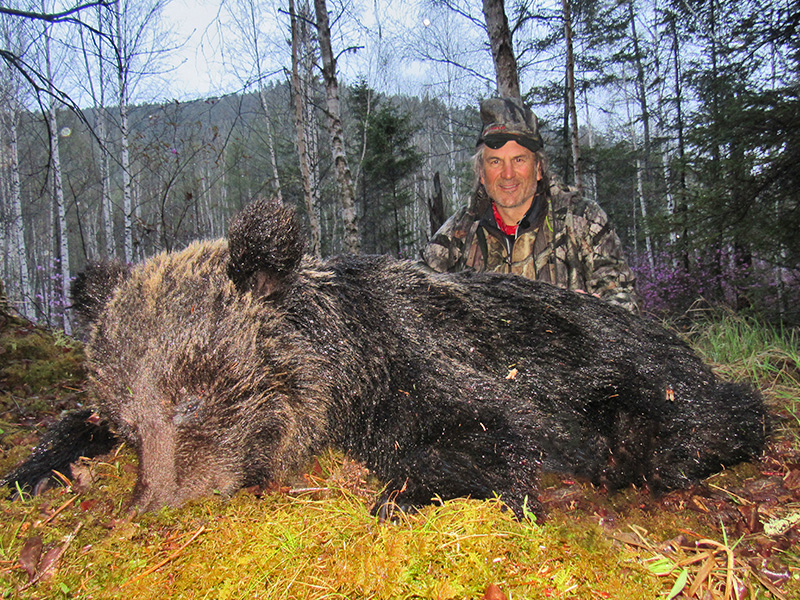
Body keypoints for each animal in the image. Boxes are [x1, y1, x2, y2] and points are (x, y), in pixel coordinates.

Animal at [4, 199, 768, 518]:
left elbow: (491, 433)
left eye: (189, 399)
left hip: (649, 388)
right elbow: (67, 424)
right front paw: (31, 469)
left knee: (704, 422)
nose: (150, 505)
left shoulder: (428, 368)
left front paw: (408, 496)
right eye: (127, 421)